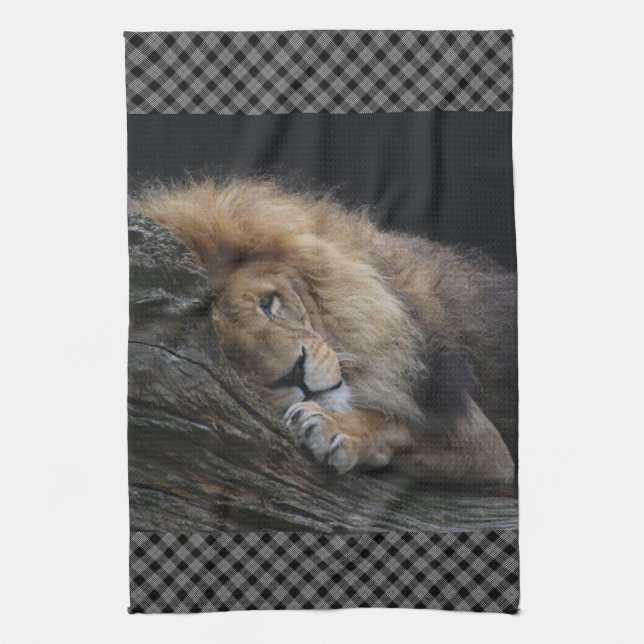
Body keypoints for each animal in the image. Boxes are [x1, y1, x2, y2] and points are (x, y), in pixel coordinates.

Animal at [131, 178, 516, 484]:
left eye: (268, 304)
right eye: (230, 356)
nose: (295, 374)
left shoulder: (483, 441)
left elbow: (394, 422)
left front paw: (333, 427)